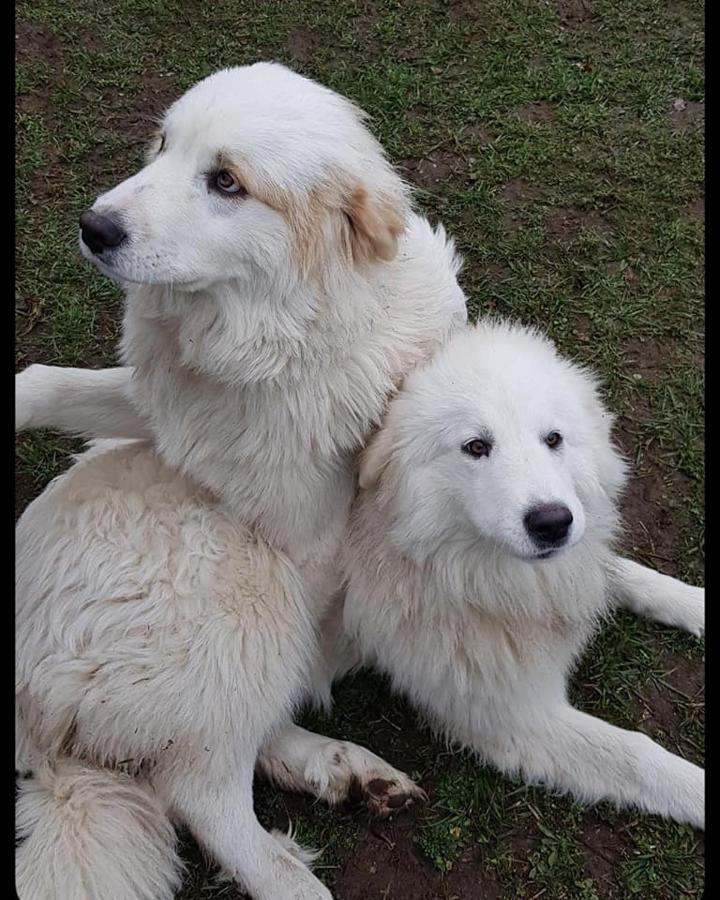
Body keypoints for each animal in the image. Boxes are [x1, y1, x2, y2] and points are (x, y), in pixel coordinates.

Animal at [16, 65, 470, 900]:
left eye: (226, 181)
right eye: (163, 145)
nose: (94, 227)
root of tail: (38, 732)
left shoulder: (303, 523)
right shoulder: (168, 418)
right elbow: (51, 385)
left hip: (252, 592)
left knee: (201, 786)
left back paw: (332, 796)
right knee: (201, 779)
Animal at [342, 318, 704, 828]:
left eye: (553, 439)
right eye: (476, 446)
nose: (553, 523)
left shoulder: (569, 566)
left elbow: (625, 574)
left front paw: (697, 604)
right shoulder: (515, 717)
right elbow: (639, 755)